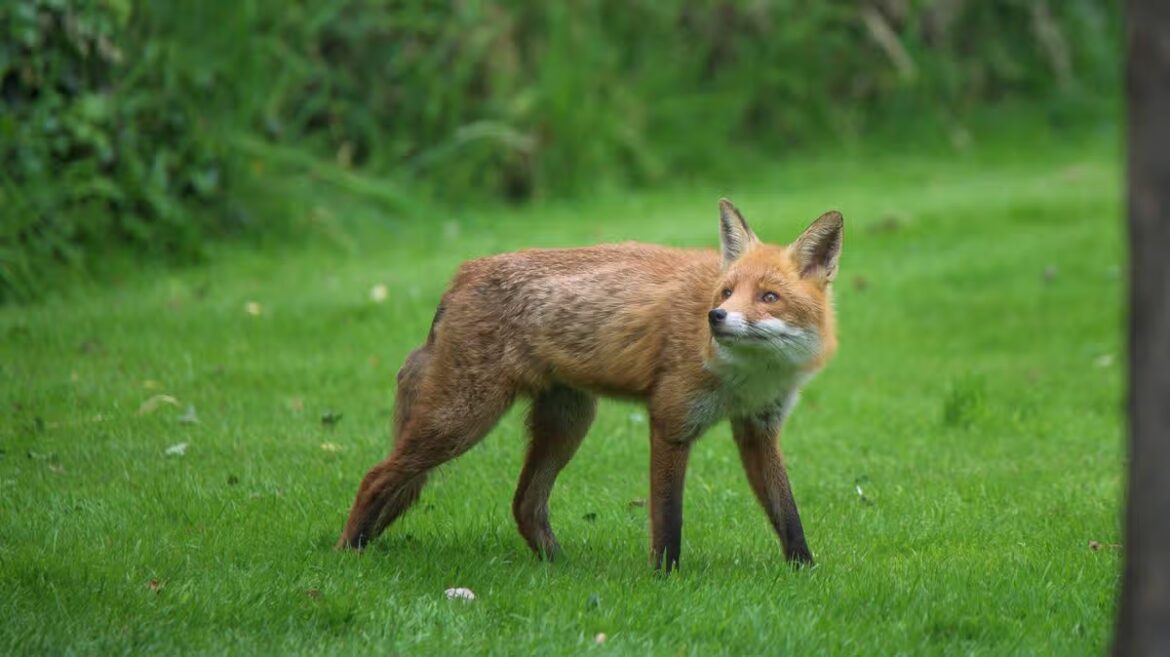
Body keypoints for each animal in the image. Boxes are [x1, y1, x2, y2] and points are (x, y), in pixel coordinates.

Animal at [337, 199, 843, 571]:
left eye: (769, 297)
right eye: (726, 293)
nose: (715, 317)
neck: (747, 376)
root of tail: (462, 273)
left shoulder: (759, 430)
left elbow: (787, 514)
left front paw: (805, 573)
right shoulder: (671, 421)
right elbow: (668, 520)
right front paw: (666, 579)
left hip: (568, 422)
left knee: (525, 504)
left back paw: (561, 567)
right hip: (463, 419)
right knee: (375, 476)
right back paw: (348, 552)